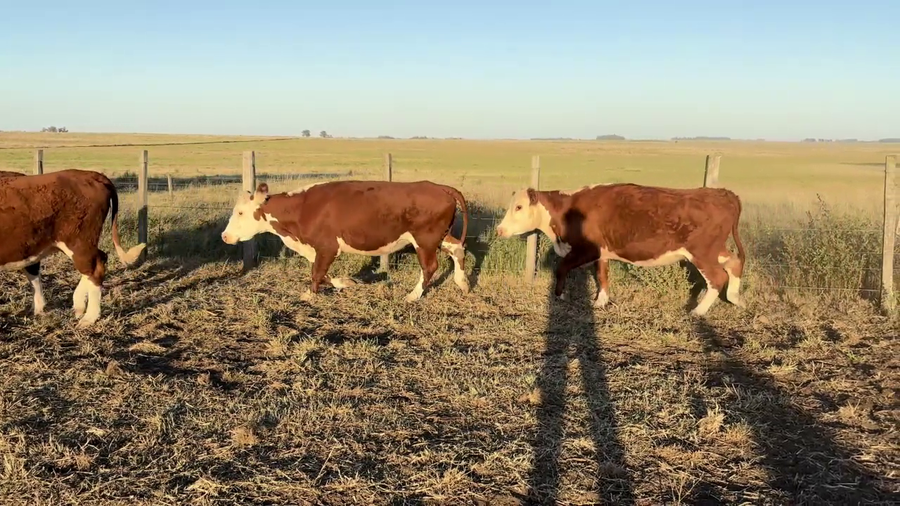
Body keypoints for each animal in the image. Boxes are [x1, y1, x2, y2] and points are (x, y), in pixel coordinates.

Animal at [0, 169, 147, 327]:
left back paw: (89, 317)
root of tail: (90, 174)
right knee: (99, 259)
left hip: (79, 243)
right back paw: (76, 305)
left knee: (95, 269)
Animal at [221, 180, 470, 302]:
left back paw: (413, 296)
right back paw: (463, 283)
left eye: (240, 212)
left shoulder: (327, 247)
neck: (303, 208)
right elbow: (323, 273)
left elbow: (317, 273)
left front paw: (309, 295)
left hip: (424, 239)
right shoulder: (320, 249)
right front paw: (346, 282)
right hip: (438, 237)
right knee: (457, 248)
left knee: (430, 267)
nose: (225, 236)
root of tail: (441, 188)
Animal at [495, 183, 746, 316]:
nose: (499, 230)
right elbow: (602, 276)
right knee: (734, 263)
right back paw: (736, 299)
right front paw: (600, 302)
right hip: (715, 250)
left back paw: (698, 311)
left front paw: (560, 295)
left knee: (718, 277)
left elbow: (562, 268)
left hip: (702, 252)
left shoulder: (587, 250)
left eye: (519, 207)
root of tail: (722, 193)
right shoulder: (602, 252)